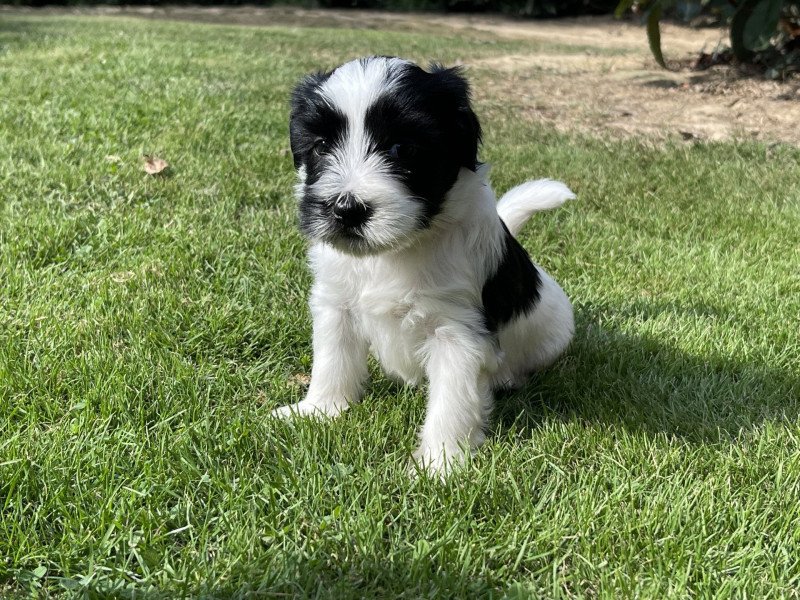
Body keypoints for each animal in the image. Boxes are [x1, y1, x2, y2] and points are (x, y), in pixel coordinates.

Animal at [276, 57, 576, 478]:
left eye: (404, 149)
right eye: (320, 146)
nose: (346, 209)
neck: (395, 251)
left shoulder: (456, 331)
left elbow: (452, 401)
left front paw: (439, 467)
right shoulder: (336, 304)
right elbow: (332, 360)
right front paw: (319, 410)